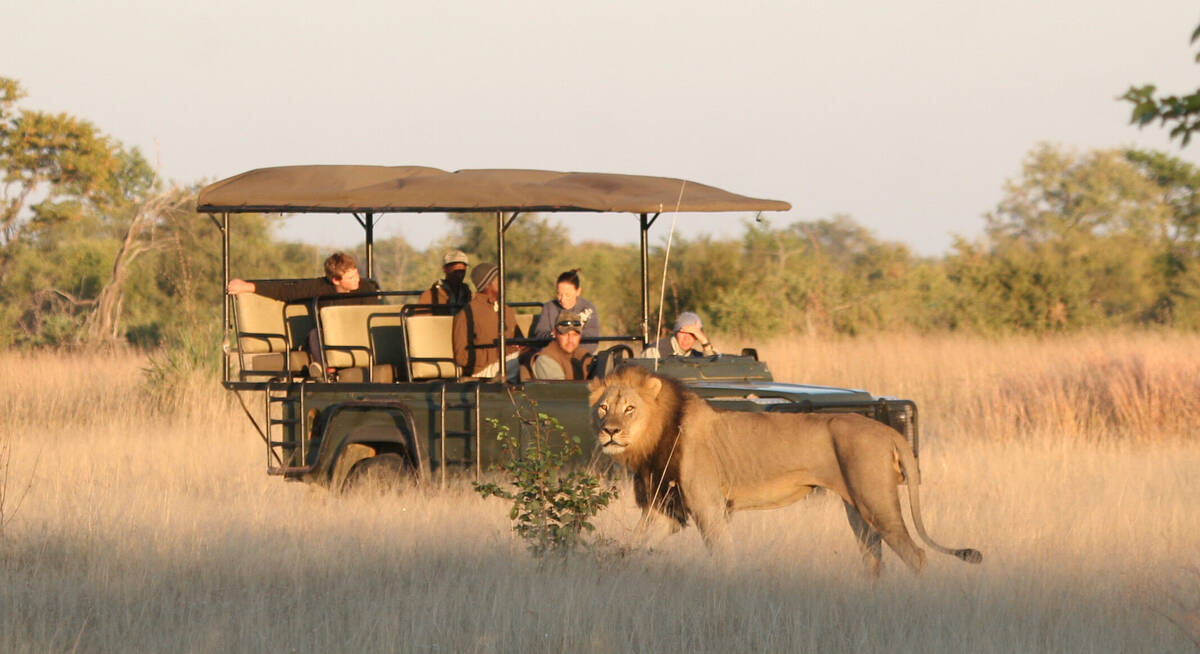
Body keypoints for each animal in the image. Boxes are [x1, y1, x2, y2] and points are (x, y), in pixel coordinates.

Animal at [585, 364, 979, 573]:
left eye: (630, 409)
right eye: (603, 408)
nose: (609, 431)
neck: (655, 437)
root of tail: (886, 429)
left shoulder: (708, 506)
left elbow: (723, 557)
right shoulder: (666, 510)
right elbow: (633, 545)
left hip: (877, 502)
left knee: (916, 554)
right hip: (857, 508)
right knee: (873, 557)